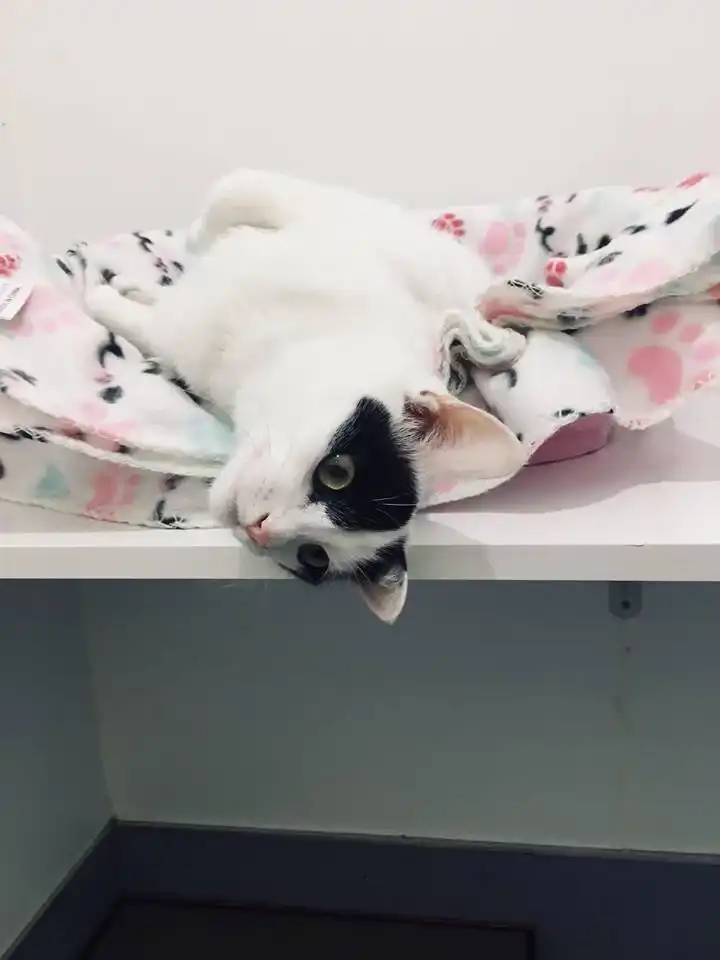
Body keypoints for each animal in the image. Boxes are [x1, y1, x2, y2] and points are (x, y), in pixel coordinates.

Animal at [86, 169, 525, 623]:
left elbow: (132, 318)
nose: (262, 529)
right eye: (337, 473)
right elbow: (235, 193)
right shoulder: (315, 215)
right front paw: (189, 242)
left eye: (313, 557)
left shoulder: (176, 338)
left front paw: (101, 292)